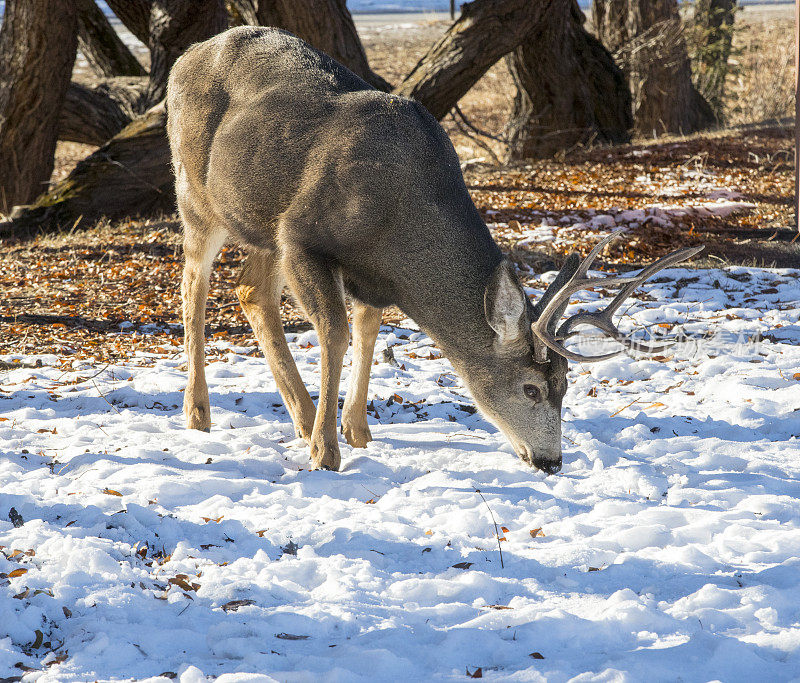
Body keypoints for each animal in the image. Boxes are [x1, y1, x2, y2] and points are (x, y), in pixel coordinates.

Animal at [164, 26, 700, 476]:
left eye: (566, 386)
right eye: (530, 387)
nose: (551, 461)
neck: (402, 222)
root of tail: (183, 58)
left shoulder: (366, 273)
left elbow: (369, 330)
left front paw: (357, 431)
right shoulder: (301, 236)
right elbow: (336, 332)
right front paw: (325, 452)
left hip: (258, 224)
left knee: (250, 290)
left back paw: (300, 414)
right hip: (196, 196)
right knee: (194, 283)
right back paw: (199, 412)